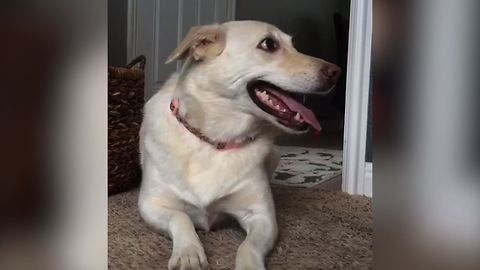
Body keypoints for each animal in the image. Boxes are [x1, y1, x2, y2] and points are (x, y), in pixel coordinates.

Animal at [139, 20, 342, 268]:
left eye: (293, 44)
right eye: (269, 44)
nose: (336, 72)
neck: (216, 139)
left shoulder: (262, 216)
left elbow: (248, 246)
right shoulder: (151, 205)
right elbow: (181, 217)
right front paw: (188, 252)